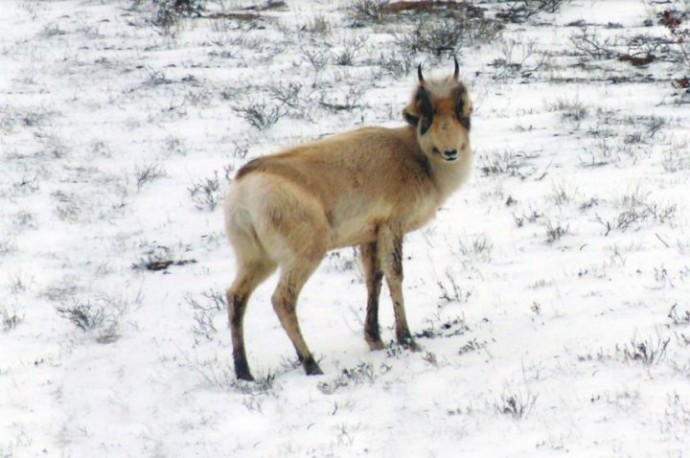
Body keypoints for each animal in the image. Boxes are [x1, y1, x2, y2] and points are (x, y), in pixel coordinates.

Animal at [223, 59, 470, 382]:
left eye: (460, 109)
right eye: (425, 114)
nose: (451, 152)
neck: (411, 152)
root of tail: (245, 184)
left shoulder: (370, 237)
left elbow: (373, 278)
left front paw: (375, 339)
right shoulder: (392, 228)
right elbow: (395, 275)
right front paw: (406, 338)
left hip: (255, 261)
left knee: (236, 296)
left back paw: (244, 372)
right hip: (304, 257)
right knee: (282, 300)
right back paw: (311, 364)